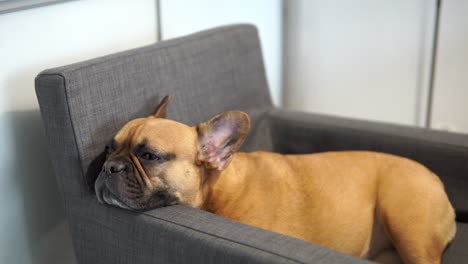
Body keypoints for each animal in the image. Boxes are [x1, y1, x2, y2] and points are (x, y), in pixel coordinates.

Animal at [95, 96, 458, 262]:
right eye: (109, 148)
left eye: (149, 155)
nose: (109, 166)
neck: (219, 191)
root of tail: (437, 180)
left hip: (408, 226)